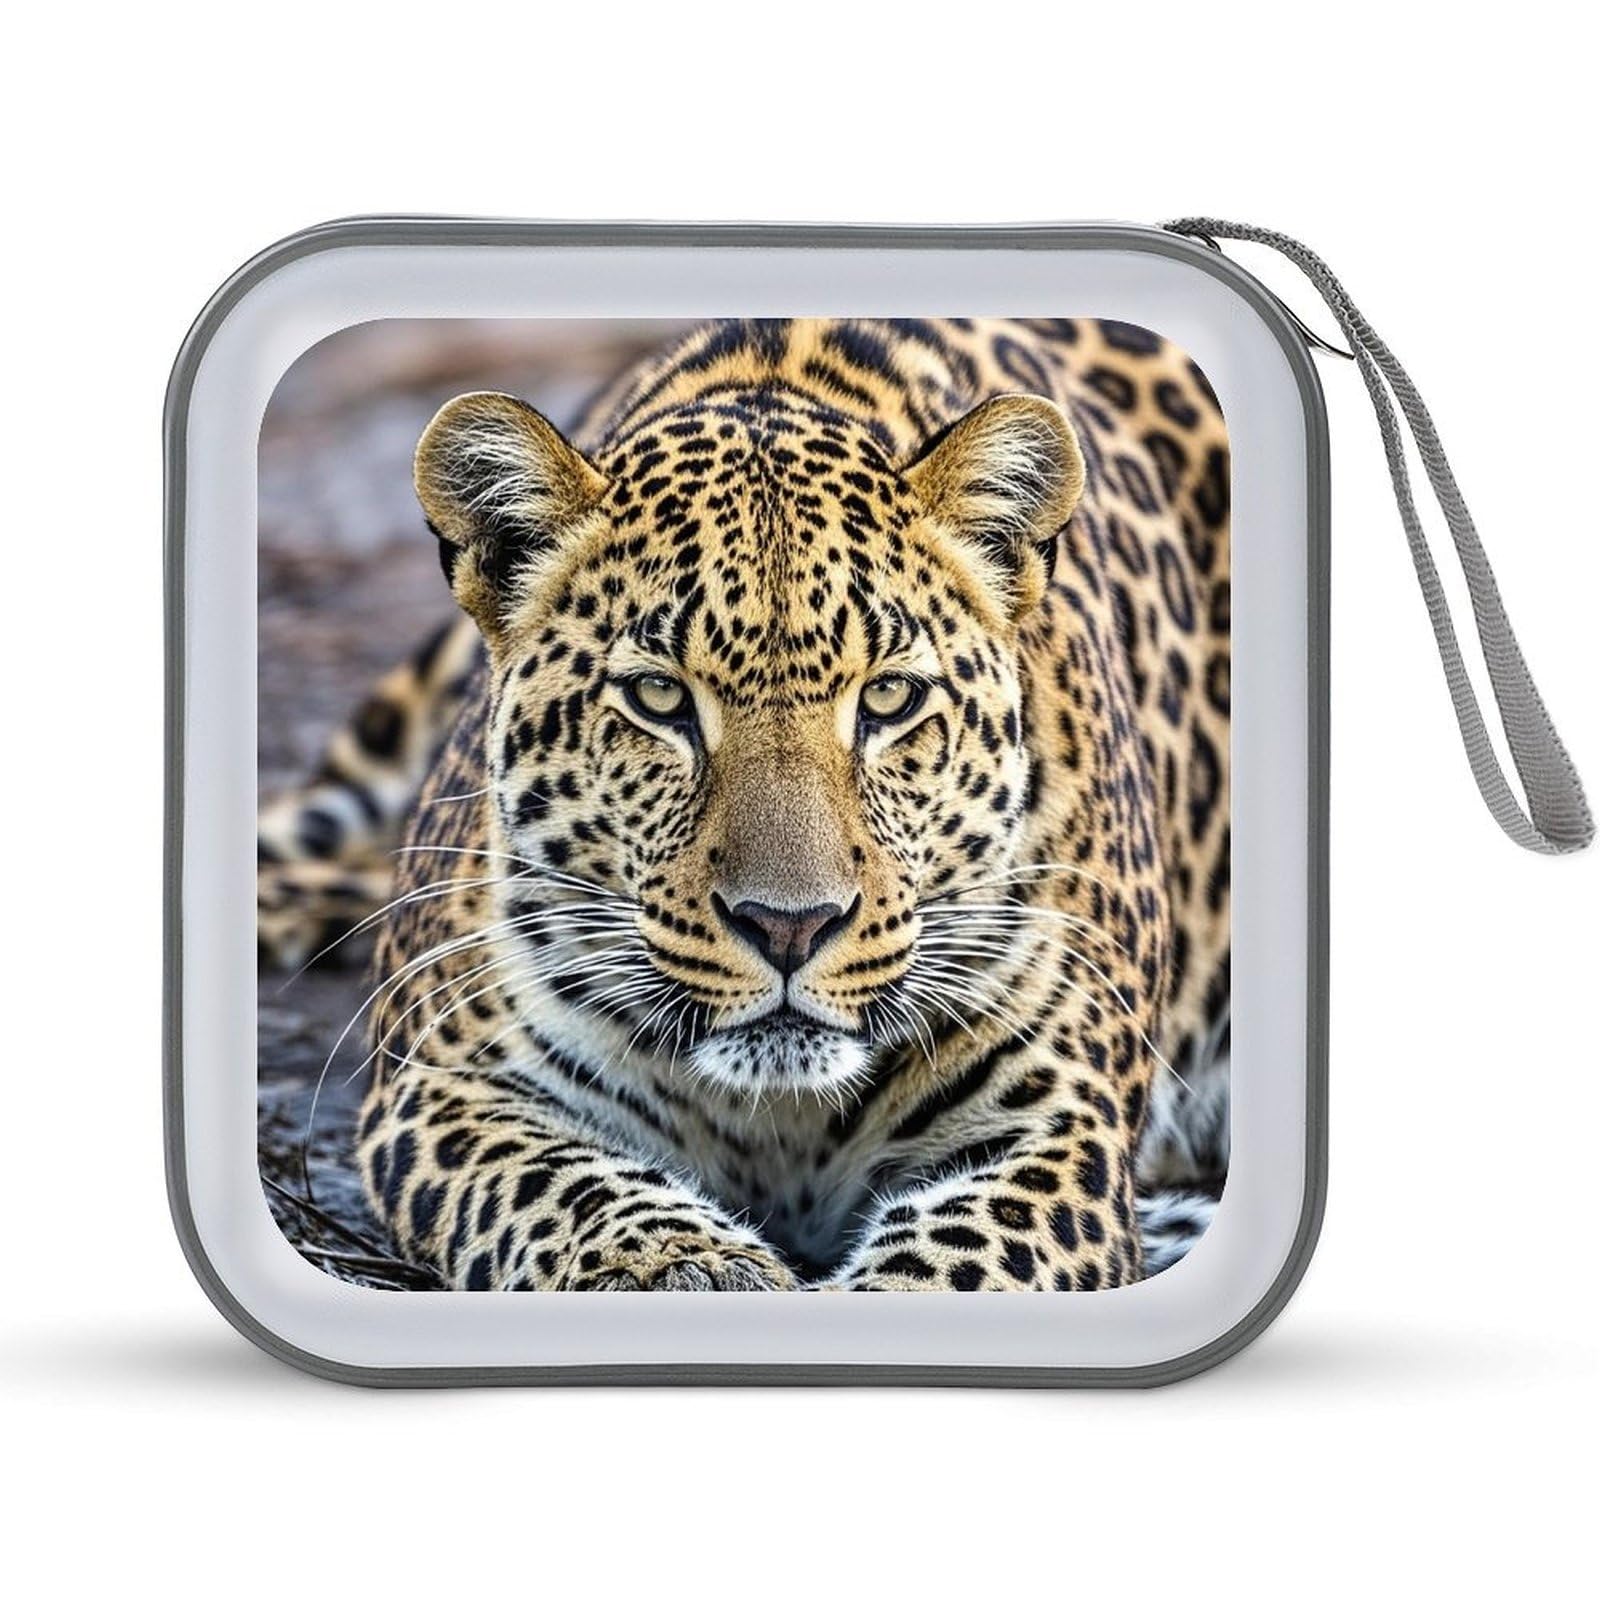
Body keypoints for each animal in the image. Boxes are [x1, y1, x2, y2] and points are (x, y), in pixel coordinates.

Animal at [258, 317, 1231, 1290]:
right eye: (659, 697)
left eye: (888, 698)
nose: (789, 928)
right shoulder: (442, 1088)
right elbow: (566, 1189)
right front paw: (693, 1266)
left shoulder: (1055, 1131)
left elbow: (953, 1262)